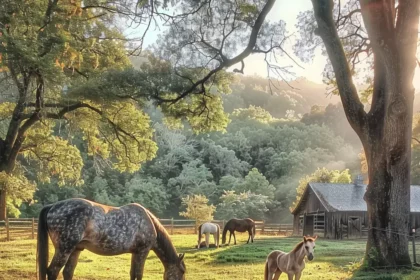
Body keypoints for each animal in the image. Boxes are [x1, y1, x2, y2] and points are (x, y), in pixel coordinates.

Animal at [36, 198, 185, 278]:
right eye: (182, 272)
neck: (148, 221)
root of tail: (52, 207)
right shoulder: (143, 251)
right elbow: (139, 274)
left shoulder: (136, 252)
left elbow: (133, 274)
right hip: (64, 249)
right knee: (53, 271)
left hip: (76, 249)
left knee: (67, 272)